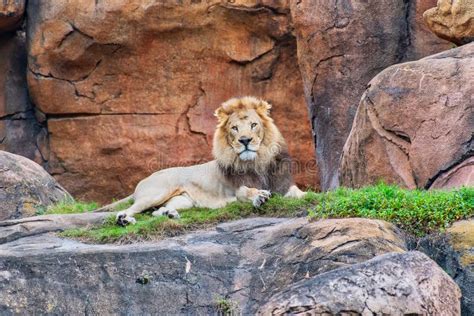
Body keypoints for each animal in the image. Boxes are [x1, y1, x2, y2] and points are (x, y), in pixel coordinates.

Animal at [109, 95, 306, 225]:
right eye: (234, 128)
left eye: (253, 125)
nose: (245, 140)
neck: (258, 162)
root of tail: (144, 179)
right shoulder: (234, 191)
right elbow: (245, 191)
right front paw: (259, 196)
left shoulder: (283, 185)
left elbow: (298, 192)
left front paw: (308, 195)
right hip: (157, 193)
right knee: (128, 210)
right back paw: (125, 219)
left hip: (183, 201)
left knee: (156, 213)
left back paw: (169, 214)